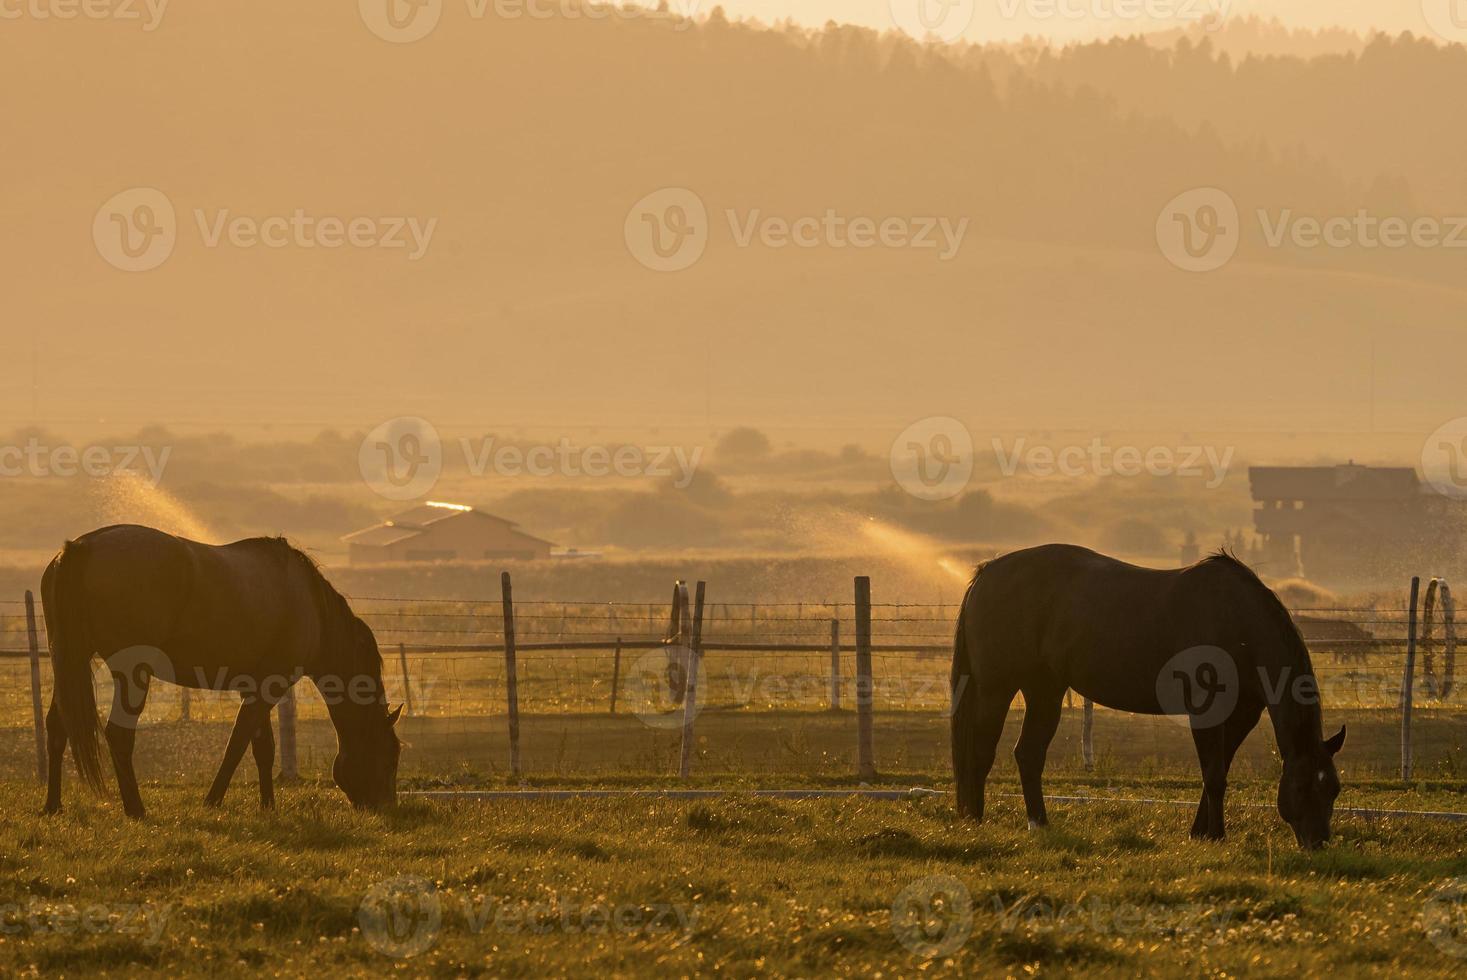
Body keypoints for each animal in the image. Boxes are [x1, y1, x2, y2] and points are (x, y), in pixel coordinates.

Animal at [42, 525, 404, 815]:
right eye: (391, 755)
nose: (385, 805)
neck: (311, 606)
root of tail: (80, 547)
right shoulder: (270, 687)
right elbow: (238, 744)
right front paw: (213, 800)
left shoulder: (256, 687)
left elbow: (262, 747)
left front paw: (267, 805)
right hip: (132, 674)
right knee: (119, 735)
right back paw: (135, 809)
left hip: (69, 661)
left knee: (57, 727)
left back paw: (53, 805)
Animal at [956, 542, 1343, 850]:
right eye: (1301, 787)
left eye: (1334, 789)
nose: (1318, 844)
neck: (1236, 622)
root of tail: (988, 572)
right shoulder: (1206, 711)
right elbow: (1215, 775)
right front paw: (1216, 836)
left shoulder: (1241, 716)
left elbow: (1217, 771)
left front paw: (1200, 832)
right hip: (997, 687)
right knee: (981, 750)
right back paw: (975, 821)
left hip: (1044, 689)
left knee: (1028, 754)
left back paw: (1039, 824)